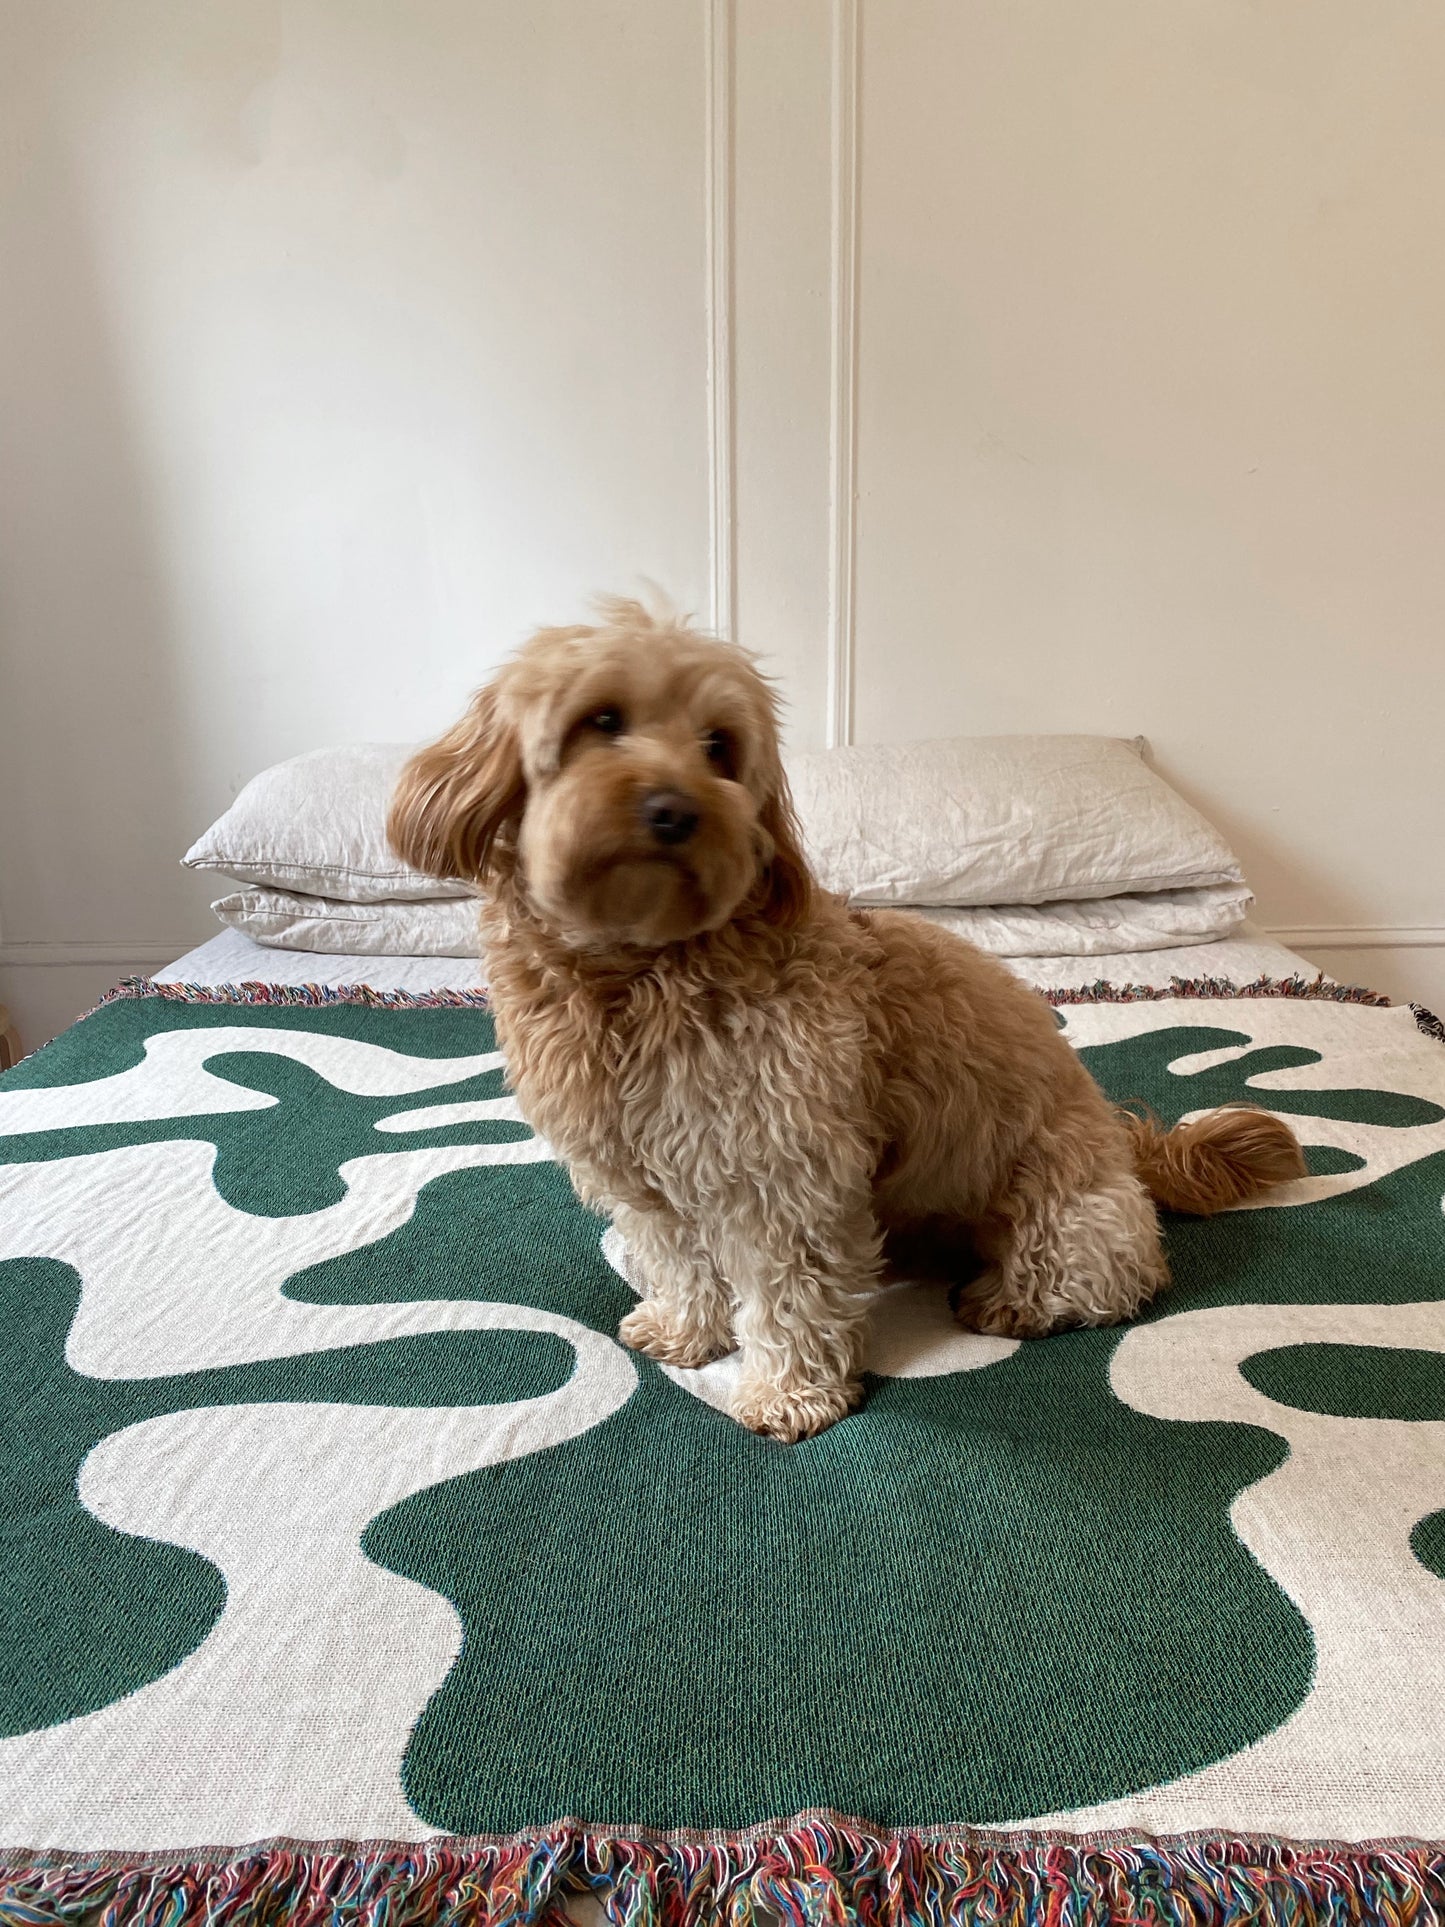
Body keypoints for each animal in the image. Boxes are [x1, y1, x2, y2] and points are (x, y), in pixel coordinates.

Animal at [387, 593, 1310, 1441]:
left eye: (719, 748)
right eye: (601, 720)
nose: (674, 810)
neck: (639, 971)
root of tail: (1128, 1144)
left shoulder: (783, 1166)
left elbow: (788, 1296)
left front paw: (788, 1395)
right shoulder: (641, 1172)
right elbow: (678, 1263)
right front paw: (687, 1331)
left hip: (1066, 1205)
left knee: (1112, 1276)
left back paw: (1011, 1301)